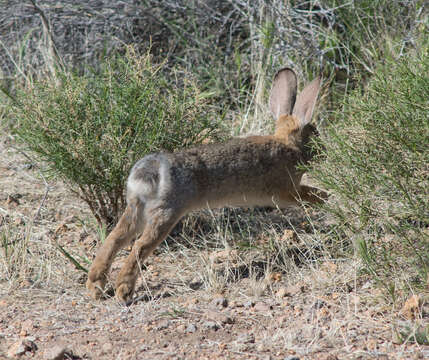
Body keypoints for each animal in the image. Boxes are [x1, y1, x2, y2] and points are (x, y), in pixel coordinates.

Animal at [87, 68, 328, 304]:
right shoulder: (287, 191)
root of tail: (147, 173)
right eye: (315, 135)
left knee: (113, 239)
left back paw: (94, 287)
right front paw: (325, 198)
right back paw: (124, 292)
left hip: (136, 210)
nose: (324, 152)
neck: (288, 144)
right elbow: (308, 194)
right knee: (139, 247)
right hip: (167, 213)